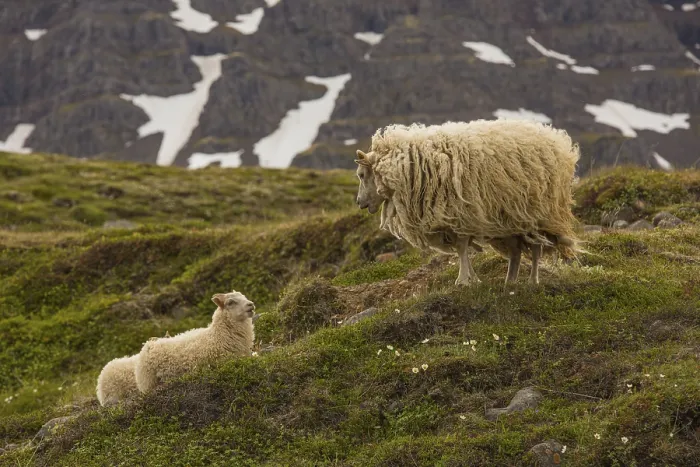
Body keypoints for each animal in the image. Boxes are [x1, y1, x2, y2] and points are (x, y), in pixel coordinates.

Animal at [354, 119, 582, 287]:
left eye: (362, 175)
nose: (359, 202)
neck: (409, 166)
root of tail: (553, 136)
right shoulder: (453, 218)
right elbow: (460, 249)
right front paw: (473, 279)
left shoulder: (461, 212)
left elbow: (462, 248)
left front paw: (463, 280)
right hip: (508, 218)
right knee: (516, 252)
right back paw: (510, 282)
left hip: (538, 212)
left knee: (535, 248)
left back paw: (533, 281)